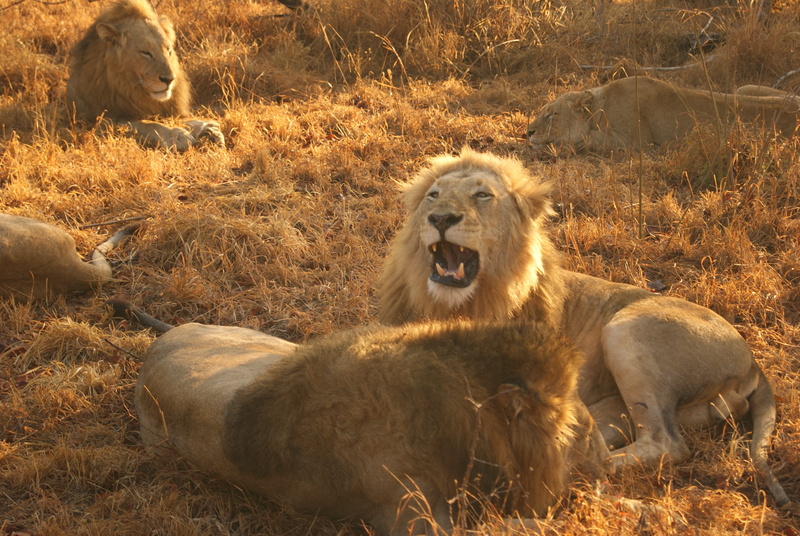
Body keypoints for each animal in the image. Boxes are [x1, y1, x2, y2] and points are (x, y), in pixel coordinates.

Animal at [67, 0, 224, 152]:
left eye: (168, 50)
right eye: (146, 53)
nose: (169, 80)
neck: (129, 86)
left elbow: (176, 117)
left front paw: (208, 127)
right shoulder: (102, 120)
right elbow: (148, 125)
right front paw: (176, 135)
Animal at [377, 147, 790, 506]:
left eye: (482, 195)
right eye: (433, 196)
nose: (441, 219)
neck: (457, 304)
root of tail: (753, 361)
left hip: (625, 329)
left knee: (665, 443)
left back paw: (580, 468)